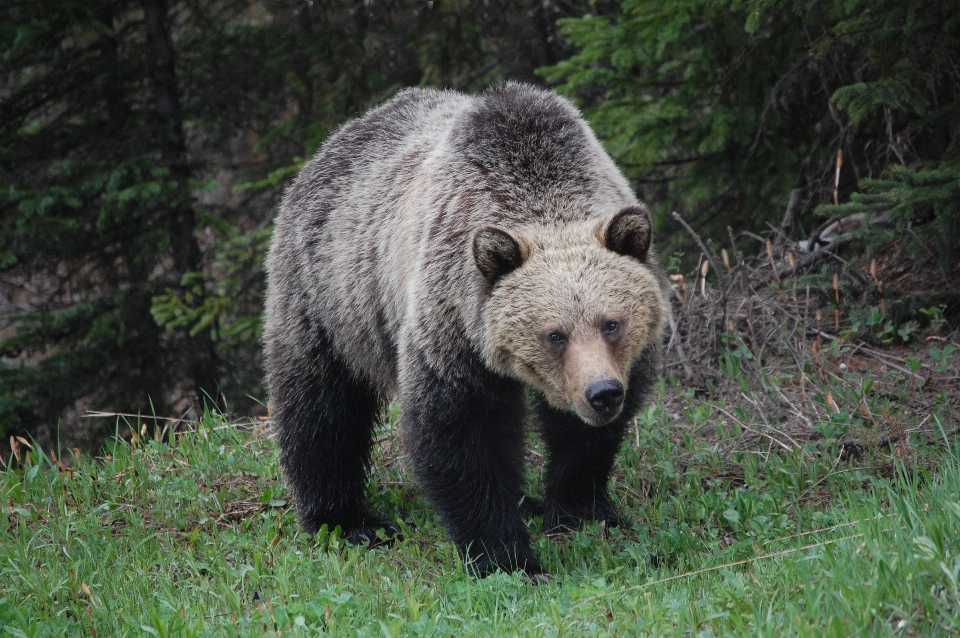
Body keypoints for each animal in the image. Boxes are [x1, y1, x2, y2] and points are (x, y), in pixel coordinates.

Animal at [262, 84, 668, 580]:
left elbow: (583, 438)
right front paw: (507, 557)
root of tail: (333, 140)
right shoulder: (452, 324)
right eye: (554, 334)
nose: (602, 394)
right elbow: (462, 432)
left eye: (612, 324)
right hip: (330, 295)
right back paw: (347, 519)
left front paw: (581, 509)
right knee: (323, 408)